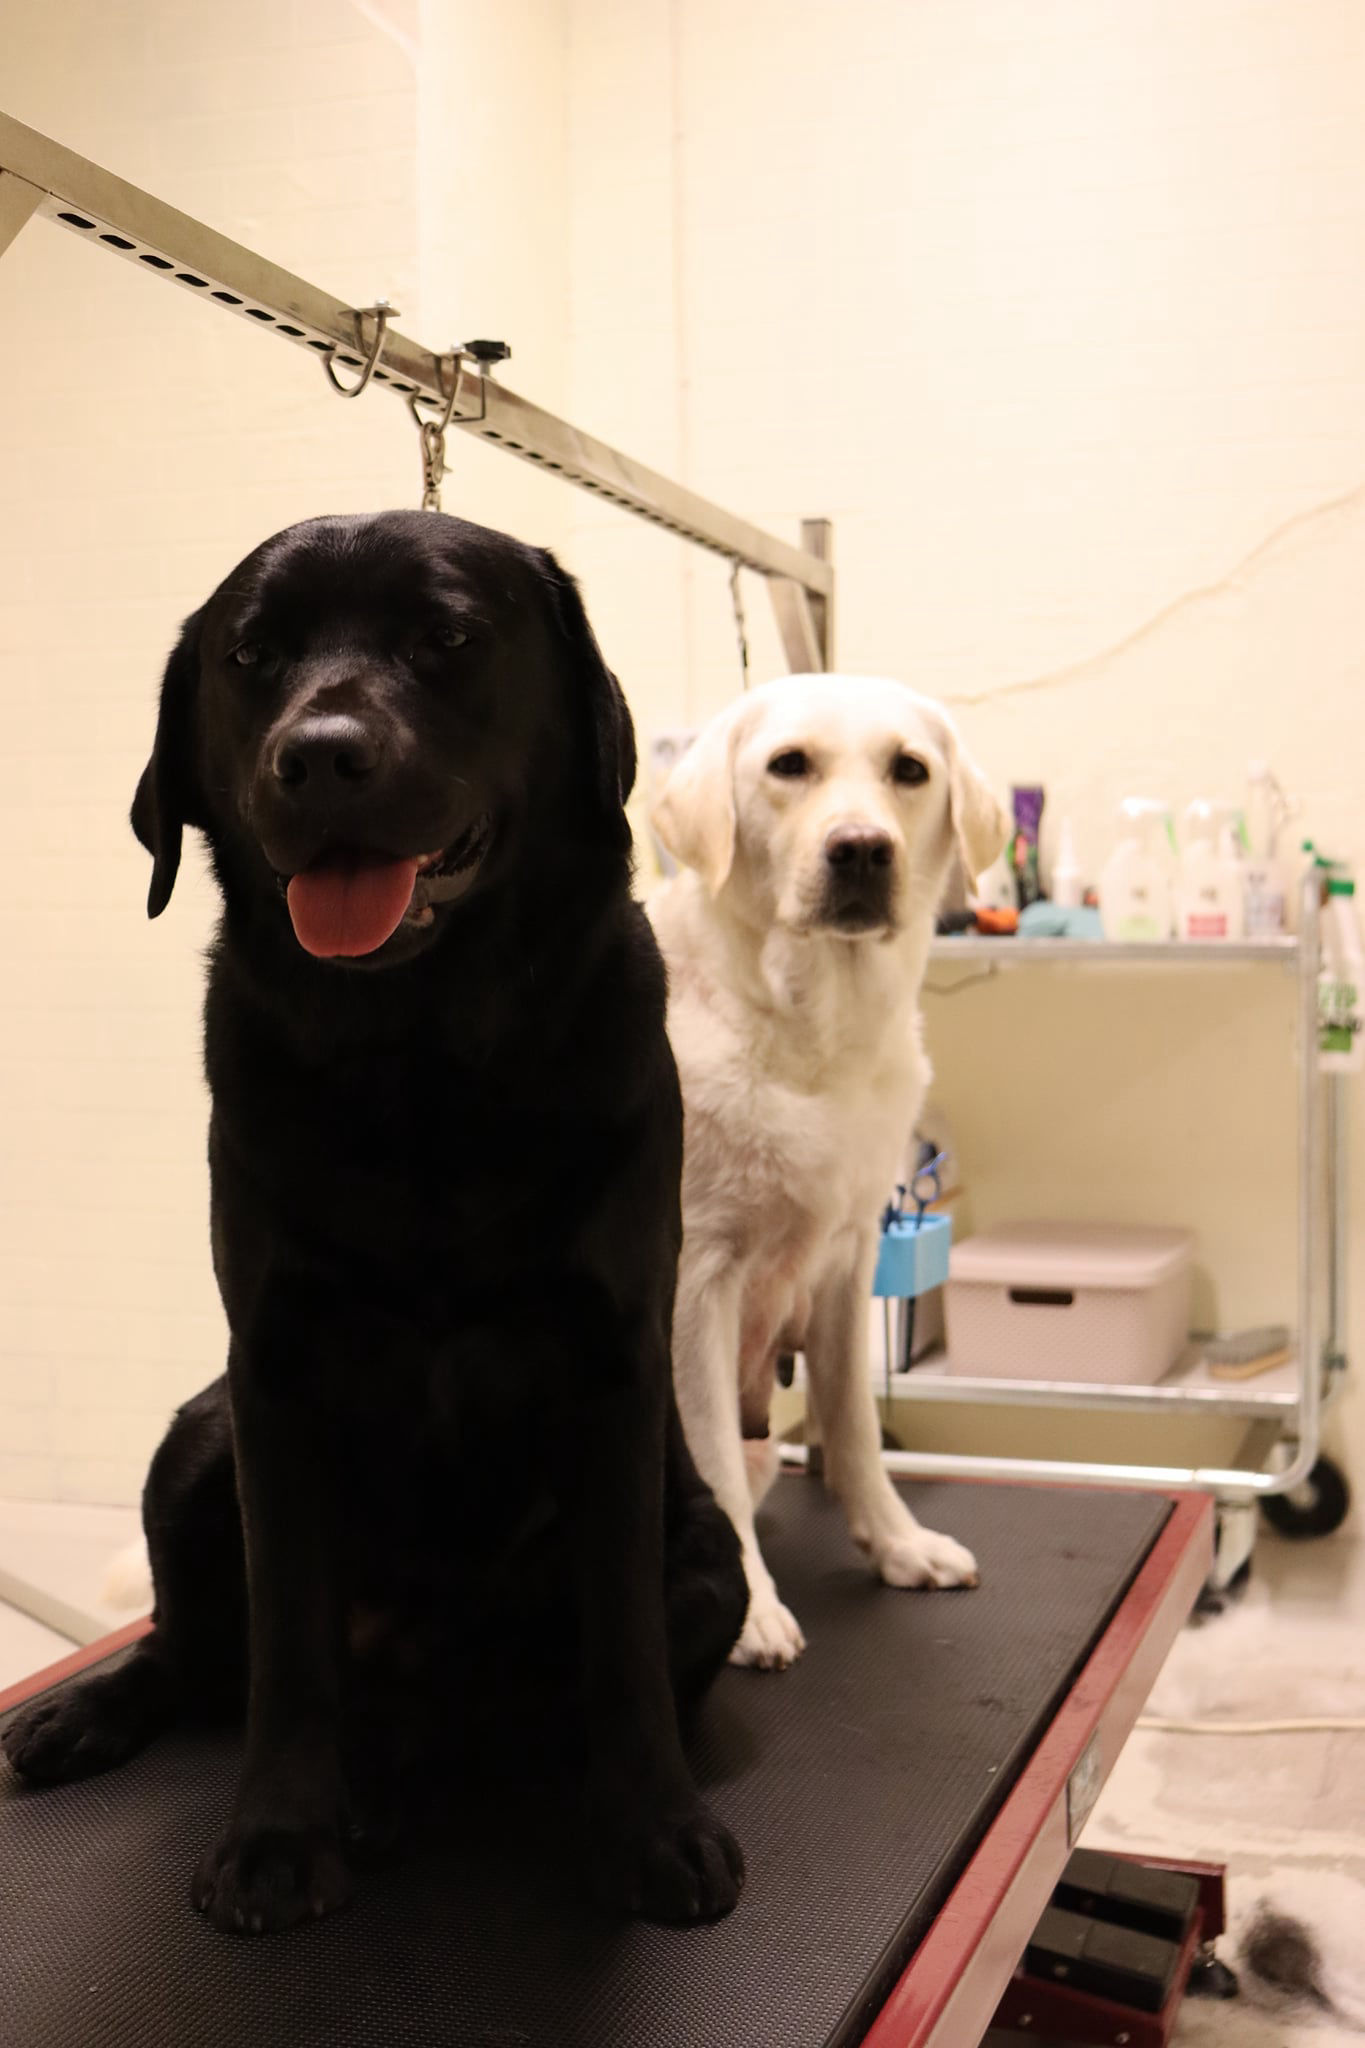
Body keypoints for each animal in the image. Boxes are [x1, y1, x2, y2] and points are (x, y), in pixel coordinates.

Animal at [1, 511, 748, 1932]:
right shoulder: (274, 1373)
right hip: (195, 1441)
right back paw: (93, 1716)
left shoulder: (615, 1369)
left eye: (448, 634)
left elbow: (620, 1645)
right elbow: (289, 1650)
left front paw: (657, 1826)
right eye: (252, 654)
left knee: (523, 1696)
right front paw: (280, 1834)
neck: (423, 1065)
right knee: (201, 1652)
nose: (322, 755)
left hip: (714, 1561)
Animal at [648, 673, 1007, 1668]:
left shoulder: (847, 1262)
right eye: (789, 765)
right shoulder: (698, 1281)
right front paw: (750, 1611)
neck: (809, 1032)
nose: (861, 850)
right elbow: (712, 1466)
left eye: (909, 770)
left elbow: (853, 1431)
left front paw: (897, 1544)